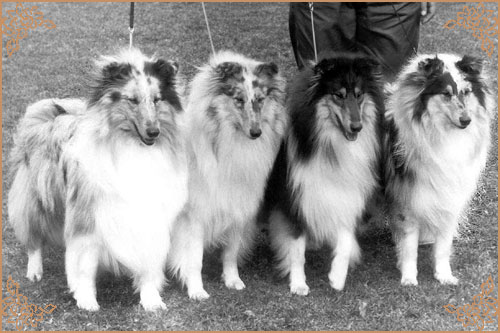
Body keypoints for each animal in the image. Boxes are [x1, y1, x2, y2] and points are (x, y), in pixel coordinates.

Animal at [7, 48, 188, 310]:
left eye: (157, 99)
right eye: (132, 100)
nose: (154, 132)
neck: (131, 146)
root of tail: (50, 117)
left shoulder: (151, 218)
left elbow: (148, 262)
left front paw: (151, 299)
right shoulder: (87, 217)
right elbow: (84, 264)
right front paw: (86, 300)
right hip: (38, 200)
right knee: (33, 237)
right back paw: (35, 270)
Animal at [167, 51, 288, 298]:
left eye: (260, 100)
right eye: (238, 100)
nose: (256, 132)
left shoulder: (238, 209)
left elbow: (231, 252)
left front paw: (233, 280)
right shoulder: (194, 216)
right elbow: (194, 259)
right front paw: (196, 290)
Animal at [268, 53, 384, 294]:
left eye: (359, 95)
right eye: (338, 95)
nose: (357, 127)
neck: (331, 144)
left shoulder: (348, 194)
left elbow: (346, 239)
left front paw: (337, 277)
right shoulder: (295, 198)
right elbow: (296, 250)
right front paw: (298, 283)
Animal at [384, 53, 494, 286]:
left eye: (467, 92)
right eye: (446, 93)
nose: (466, 121)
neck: (443, 134)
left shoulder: (448, 194)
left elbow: (443, 245)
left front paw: (444, 275)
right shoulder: (406, 198)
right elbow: (409, 246)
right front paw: (409, 278)